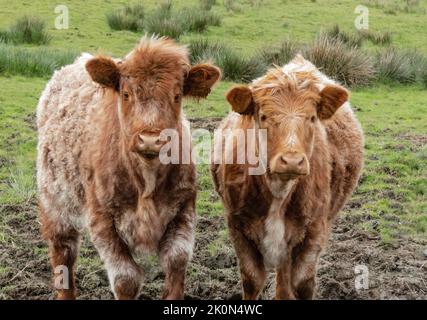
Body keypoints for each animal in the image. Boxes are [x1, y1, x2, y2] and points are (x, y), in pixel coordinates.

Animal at [36, 37, 221, 300]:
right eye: (126, 94)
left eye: (177, 96)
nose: (151, 139)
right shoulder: (101, 219)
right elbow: (126, 279)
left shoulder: (184, 209)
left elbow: (176, 261)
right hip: (56, 200)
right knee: (63, 253)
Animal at [211, 55, 364, 300]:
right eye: (263, 116)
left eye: (312, 117)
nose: (292, 161)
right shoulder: (237, 225)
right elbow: (251, 280)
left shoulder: (314, 230)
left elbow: (302, 284)